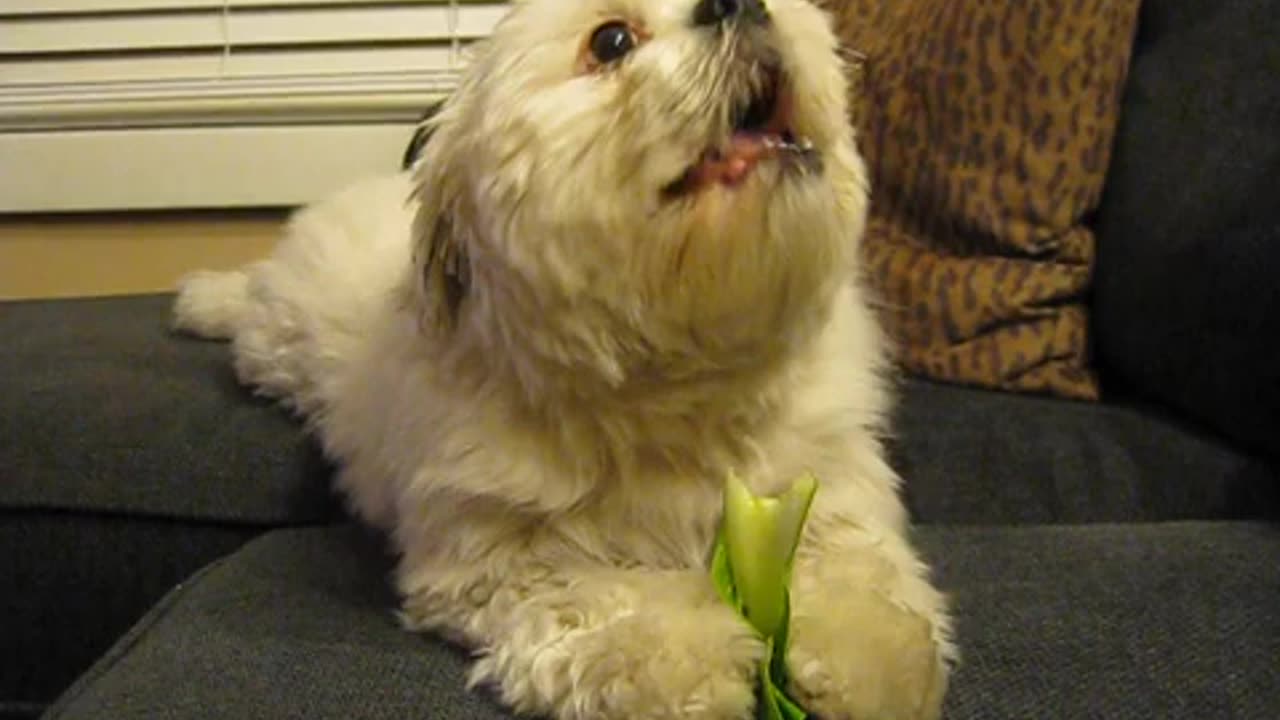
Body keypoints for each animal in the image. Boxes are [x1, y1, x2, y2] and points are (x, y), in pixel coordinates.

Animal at [170, 0, 952, 712]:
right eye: (611, 42)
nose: (736, 3)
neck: (682, 382)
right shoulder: (497, 559)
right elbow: (608, 603)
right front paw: (685, 670)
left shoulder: (832, 485)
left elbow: (864, 574)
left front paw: (872, 663)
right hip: (277, 341)